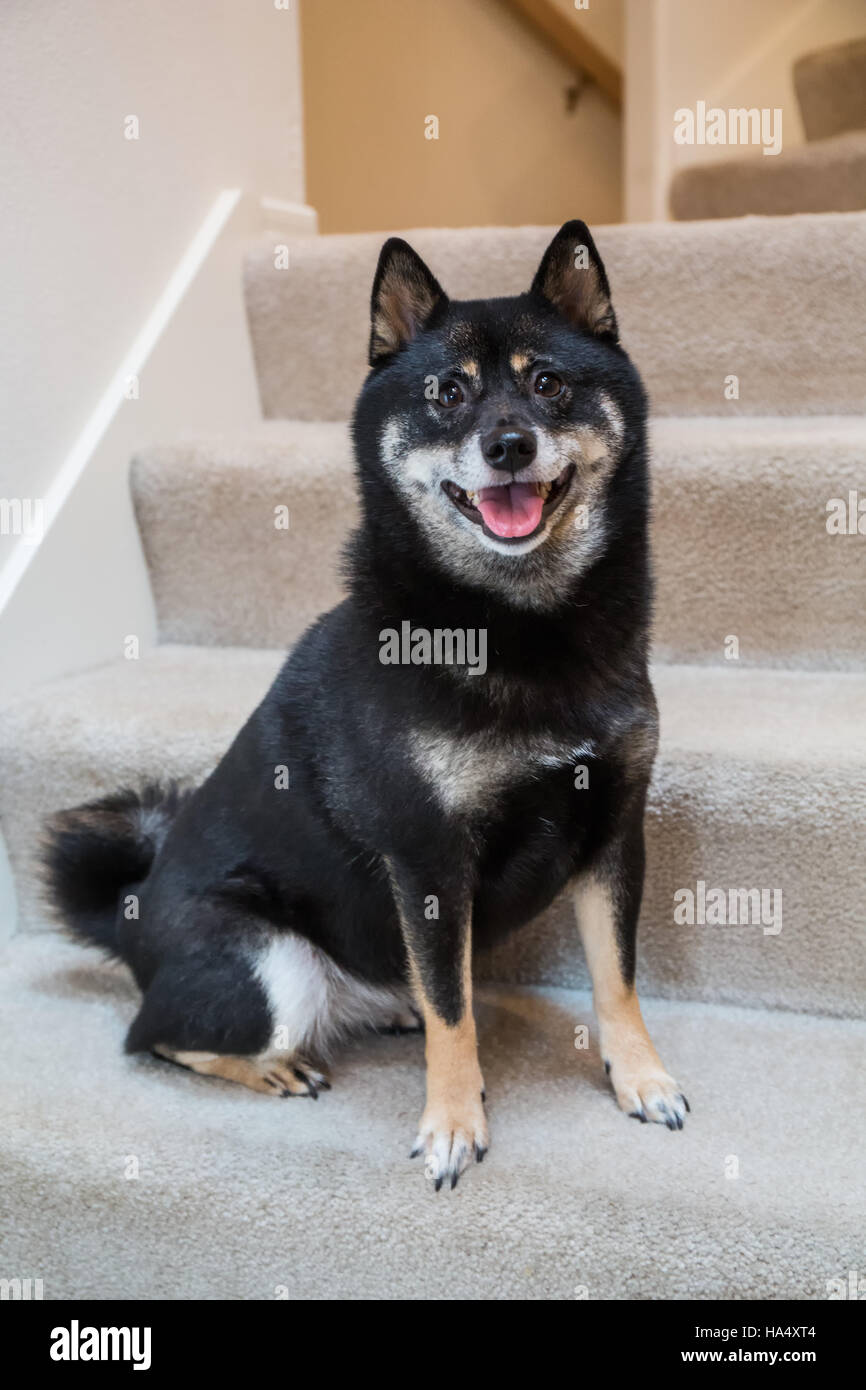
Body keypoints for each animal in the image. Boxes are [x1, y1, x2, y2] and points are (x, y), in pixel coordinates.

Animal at [44, 222, 686, 1189]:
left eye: (548, 383)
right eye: (446, 393)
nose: (507, 444)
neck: (514, 625)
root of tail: (134, 921)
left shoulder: (612, 830)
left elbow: (617, 977)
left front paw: (639, 1076)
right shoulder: (428, 858)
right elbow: (457, 1009)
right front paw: (453, 1121)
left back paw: (387, 1009)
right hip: (269, 964)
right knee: (154, 1036)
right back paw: (277, 1066)